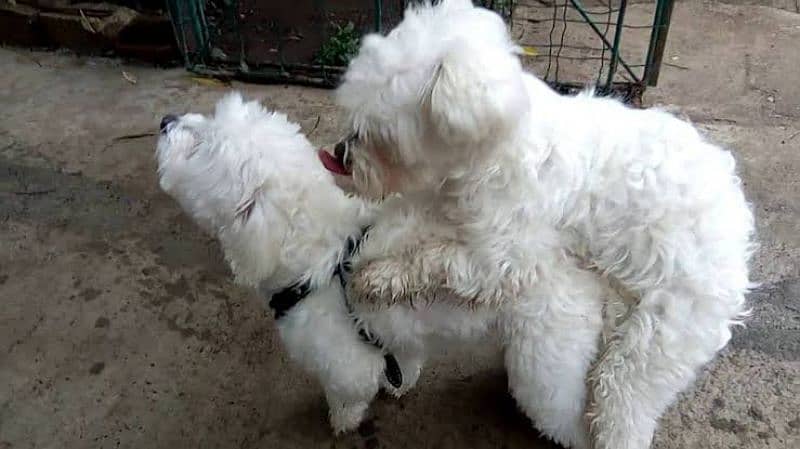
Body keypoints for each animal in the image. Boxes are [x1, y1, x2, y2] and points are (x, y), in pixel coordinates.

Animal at [155, 93, 396, 430]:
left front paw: (343, 420)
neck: (326, 261)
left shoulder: (350, 365)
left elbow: (349, 395)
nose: (165, 120)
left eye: (200, 147)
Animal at [326, 1, 756, 446]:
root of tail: (737, 230)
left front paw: (379, 276)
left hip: (654, 341)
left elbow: (437, 259)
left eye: (380, 136)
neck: (496, 151)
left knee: (624, 407)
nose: (340, 154)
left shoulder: (506, 259)